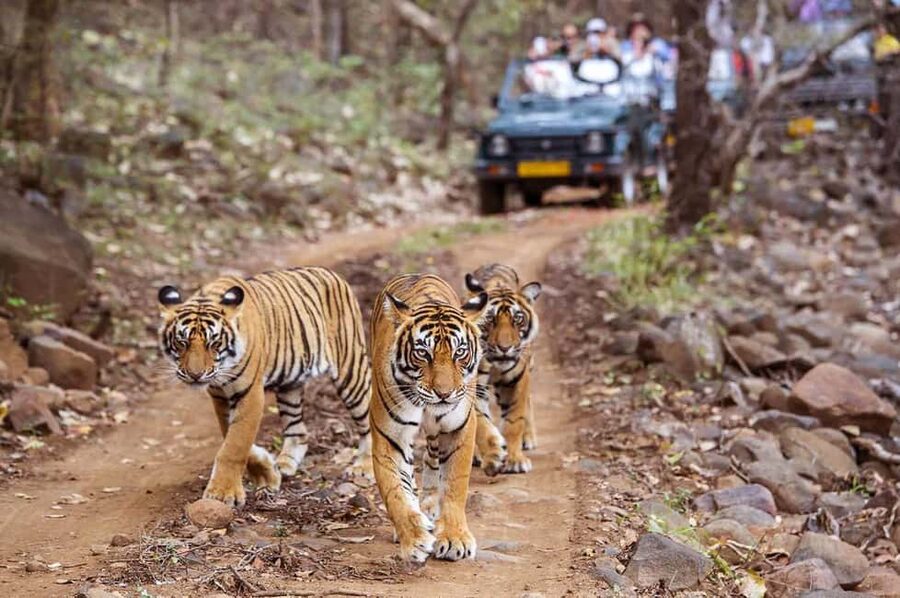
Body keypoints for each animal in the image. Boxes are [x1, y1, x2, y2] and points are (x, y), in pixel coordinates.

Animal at [157, 267, 372, 507]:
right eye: (181, 342)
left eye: (214, 343)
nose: (195, 375)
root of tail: (331, 273)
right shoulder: (220, 396)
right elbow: (231, 436)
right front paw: (267, 473)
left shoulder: (250, 393)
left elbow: (235, 444)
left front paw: (223, 493)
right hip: (290, 385)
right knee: (298, 429)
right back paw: (285, 464)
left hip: (351, 370)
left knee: (368, 419)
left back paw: (364, 467)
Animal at [369, 273, 488, 563]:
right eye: (423, 353)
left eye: (460, 352)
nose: (444, 394)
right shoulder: (390, 436)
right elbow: (395, 491)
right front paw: (414, 539)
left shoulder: (459, 428)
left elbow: (455, 485)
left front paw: (455, 539)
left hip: (437, 432)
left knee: (433, 460)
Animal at [465, 263, 542, 474]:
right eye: (490, 320)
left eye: (517, 319)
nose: (505, 348)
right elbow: (481, 423)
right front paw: (493, 456)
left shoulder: (517, 379)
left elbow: (514, 420)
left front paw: (515, 460)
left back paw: (528, 438)